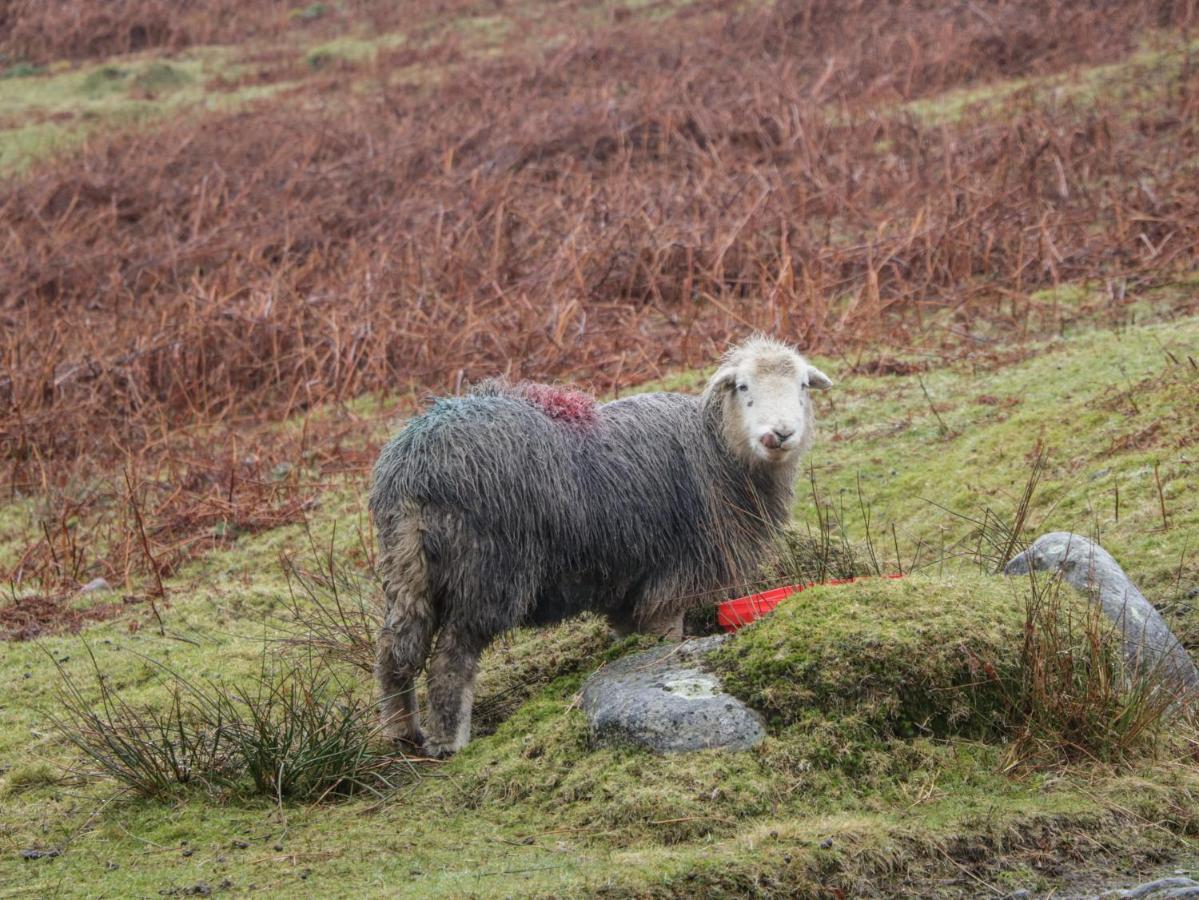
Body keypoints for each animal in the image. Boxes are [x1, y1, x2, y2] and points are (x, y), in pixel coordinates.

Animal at [369, 335, 829, 757]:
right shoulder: (672, 577)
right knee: (452, 659)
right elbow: (665, 639)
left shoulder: (628, 585)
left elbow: (630, 638)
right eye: (743, 386)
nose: (780, 434)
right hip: (488, 570)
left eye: (803, 385)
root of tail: (417, 465)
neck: (717, 450)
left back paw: (401, 732)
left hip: (406, 566)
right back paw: (450, 742)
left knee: (394, 649)